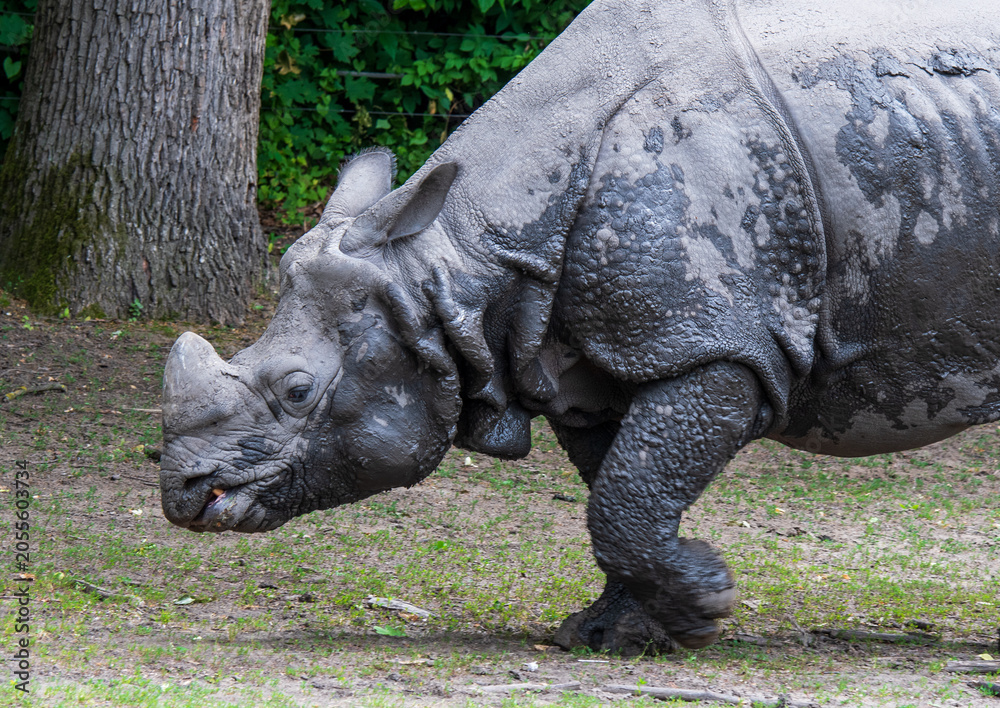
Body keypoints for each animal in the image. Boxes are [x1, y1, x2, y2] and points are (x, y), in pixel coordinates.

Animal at [160, 0, 1000, 653]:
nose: (183, 493)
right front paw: (615, 635)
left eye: (298, 391)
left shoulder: (716, 341)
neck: (456, 258)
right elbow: (622, 491)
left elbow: (626, 497)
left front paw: (708, 603)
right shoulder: (584, 361)